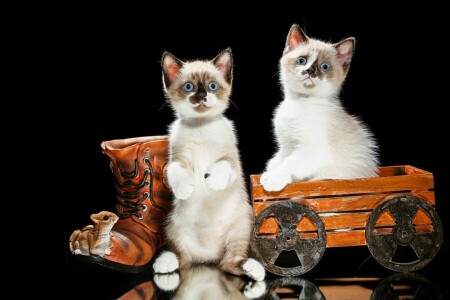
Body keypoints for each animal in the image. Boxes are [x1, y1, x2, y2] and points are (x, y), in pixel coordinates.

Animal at [154, 47, 266, 282]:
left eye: (212, 86)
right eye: (189, 87)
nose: (202, 96)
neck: (201, 126)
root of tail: (208, 257)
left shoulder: (231, 160)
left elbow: (223, 166)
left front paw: (213, 181)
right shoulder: (177, 157)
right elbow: (175, 170)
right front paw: (185, 188)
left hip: (242, 227)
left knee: (230, 262)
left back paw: (252, 269)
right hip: (173, 227)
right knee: (182, 258)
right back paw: (165, 263)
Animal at [260, 24, 380, 192]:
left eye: (324, 67)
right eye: (302, 60)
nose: (310, 71)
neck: (300, 102)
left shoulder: (311, 150)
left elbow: (289, 163)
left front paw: (273, 178)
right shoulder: (286, 146)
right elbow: (278, 160)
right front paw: (269, 171)